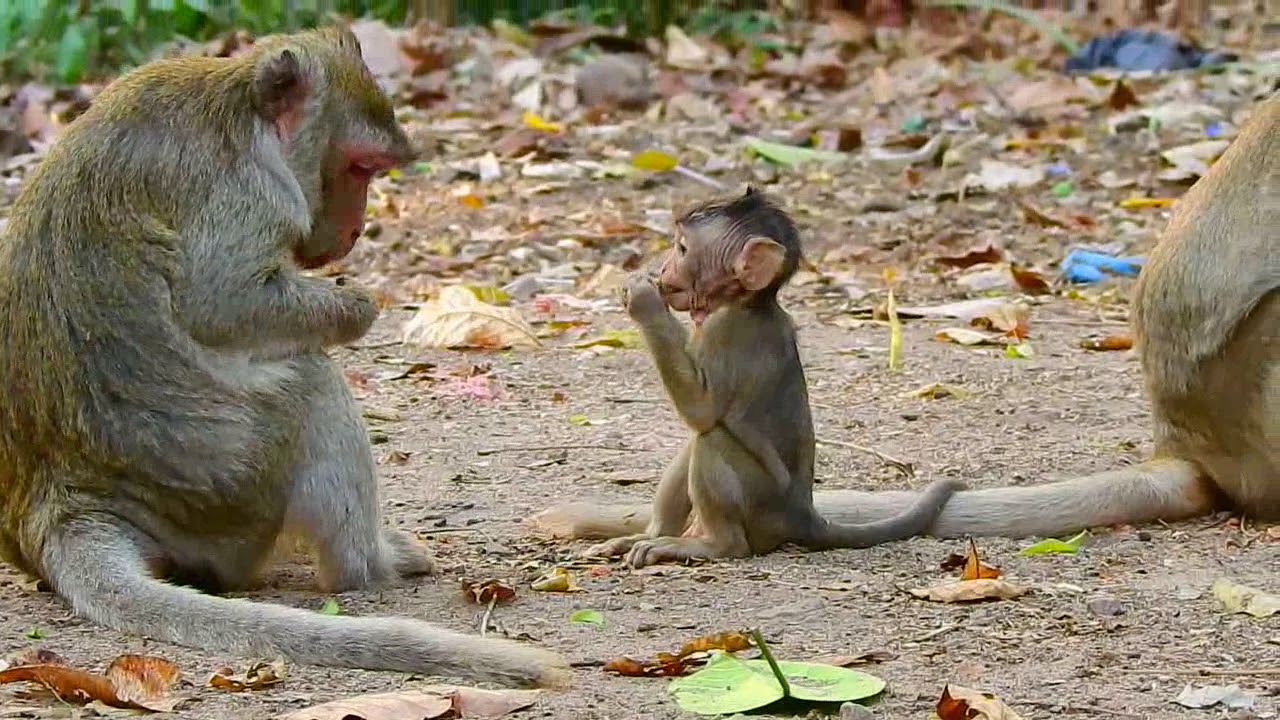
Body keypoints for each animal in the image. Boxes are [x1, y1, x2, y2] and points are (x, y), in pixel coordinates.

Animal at [0, 26, 569, 688]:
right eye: (360, 167)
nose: (356, 229)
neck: (237, 102)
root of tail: (64, 503)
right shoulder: (243, 190)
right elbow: (220, 302)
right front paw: (356, 307)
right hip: (232, 498)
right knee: (309, 380)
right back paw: (369, 563)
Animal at [575, 188, 962, 569]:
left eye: (682, 248)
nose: (664, 268)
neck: (747, 303)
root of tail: (803, 514)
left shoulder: (724, 331)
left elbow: (702, 410)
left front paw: (644, 299)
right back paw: (651, 536)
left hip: (762, 505)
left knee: (712, 437)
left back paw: (713, 546)